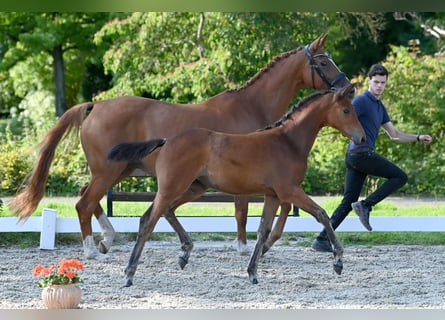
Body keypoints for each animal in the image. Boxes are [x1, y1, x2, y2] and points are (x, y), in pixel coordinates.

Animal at [7, 34, 350, 260]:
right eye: (323, 61)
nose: (347, 87)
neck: (249, 106)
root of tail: (97, 105)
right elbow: (242, 210)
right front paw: (244, 248)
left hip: (119, 170)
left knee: (87, 198)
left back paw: (107, 238)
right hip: (109, 172)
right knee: (84, 203)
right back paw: (92, 249)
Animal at [107, 83, 364, 284]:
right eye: (346, 110)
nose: (361, 137)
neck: (287, 142)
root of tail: (167, 141)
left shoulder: (273, 195)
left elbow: (263, 230)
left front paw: (252, 272)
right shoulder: (289, 191)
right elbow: (322, 214)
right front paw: (338, 261)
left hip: (193, 187)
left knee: (161, 213)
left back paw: (183, 255)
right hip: (173, 187)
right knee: (149, 221)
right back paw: (129, 273)